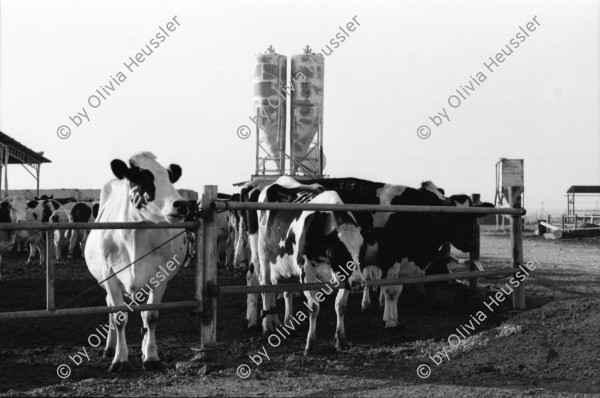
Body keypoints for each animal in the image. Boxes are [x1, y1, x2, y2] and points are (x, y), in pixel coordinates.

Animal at [84, 152, 190, 374]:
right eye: (143, 177)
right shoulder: (110, 276)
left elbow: (150, 317)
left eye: (169, 177)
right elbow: (119, 316)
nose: (182, 205)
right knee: (109, 307)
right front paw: (120, 359)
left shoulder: (160, 277)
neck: (134, 233)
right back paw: (109, 347)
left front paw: (151, 357)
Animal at [255, 178, 364, 354]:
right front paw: (311, 343)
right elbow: (313, 307)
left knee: (286, 291)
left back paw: (284, 322)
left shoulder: (344, 275)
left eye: (360, 247)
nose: (359, 284)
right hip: (263, 253)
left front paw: (341, 339)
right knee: (266, 286)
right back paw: (267, 326)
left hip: (287, 266)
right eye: (339, 249)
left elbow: (341, 305)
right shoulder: (306, 272)